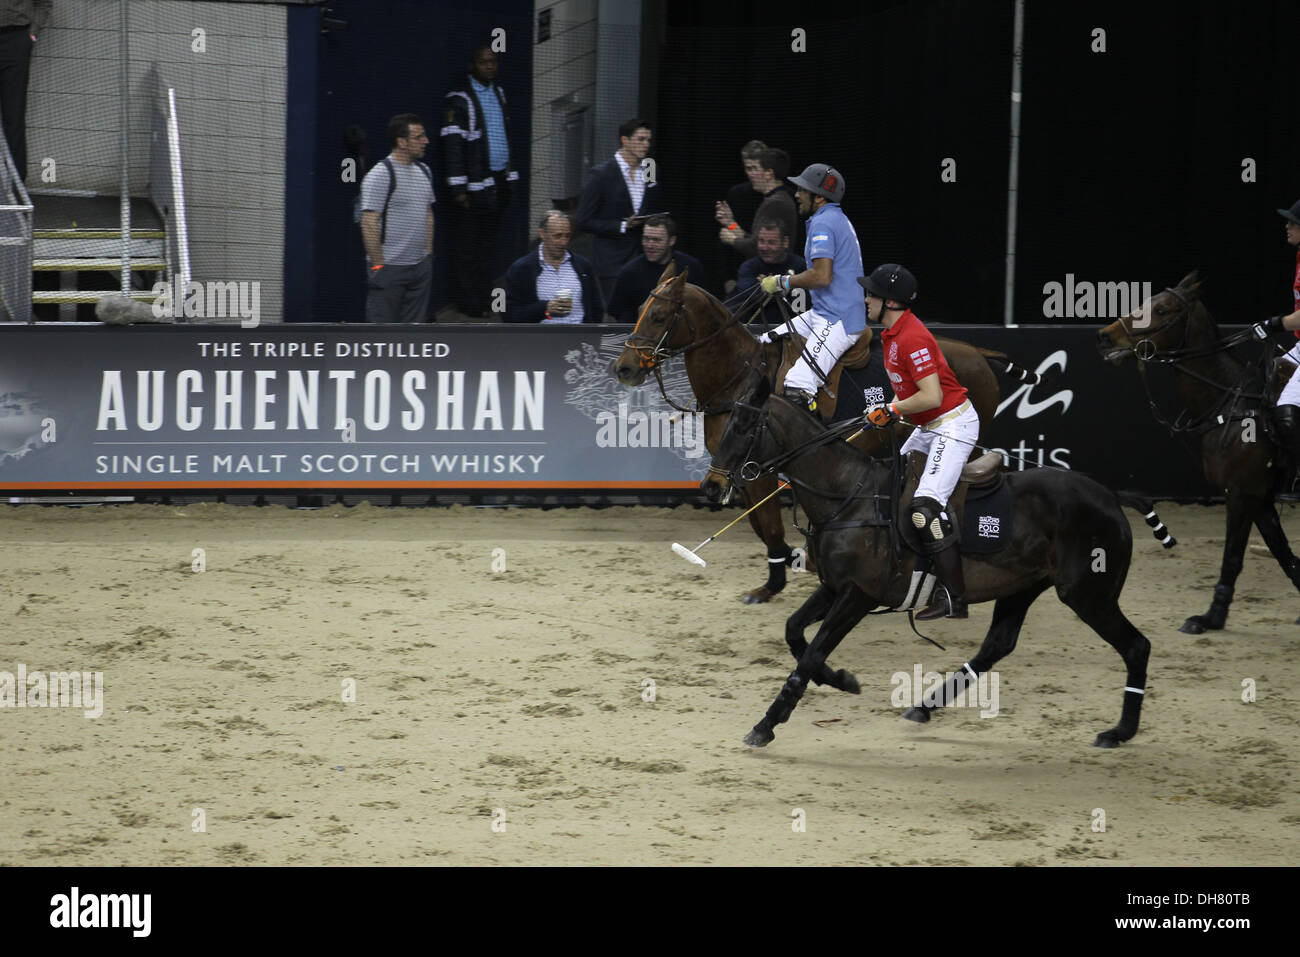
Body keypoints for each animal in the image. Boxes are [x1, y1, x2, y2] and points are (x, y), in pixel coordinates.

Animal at [611, 261, 1045, 600]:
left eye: (660, 316)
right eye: (640, 308)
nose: (624, 368)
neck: (739, 373)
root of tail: (978, 352)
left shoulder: (757, 469)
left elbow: (768, 525)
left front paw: (778, 576)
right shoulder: (738, 468)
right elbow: (759, 524)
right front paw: (793, 561)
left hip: (966, 437)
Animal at [707, 379, 1154, 748]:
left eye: (743, 428)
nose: (710, 486)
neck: (848, 496)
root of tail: (1112, 497)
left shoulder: (859, 595)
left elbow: (812, 652)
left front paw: (766, 724)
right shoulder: (834, 587)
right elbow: (795, 633)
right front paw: (841, 680)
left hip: (1088, 593)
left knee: (1137, 646)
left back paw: (1120, 731)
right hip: (1023, 586)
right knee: (997, 645)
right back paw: (923, 706)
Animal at [1097, 274, 1300, 634]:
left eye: (1162, 309)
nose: (1105, 337)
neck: (1230, 401)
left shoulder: (1242, 492)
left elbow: (1232, 557)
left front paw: (1210, 618)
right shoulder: (1260, 497)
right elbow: (1284, 553)